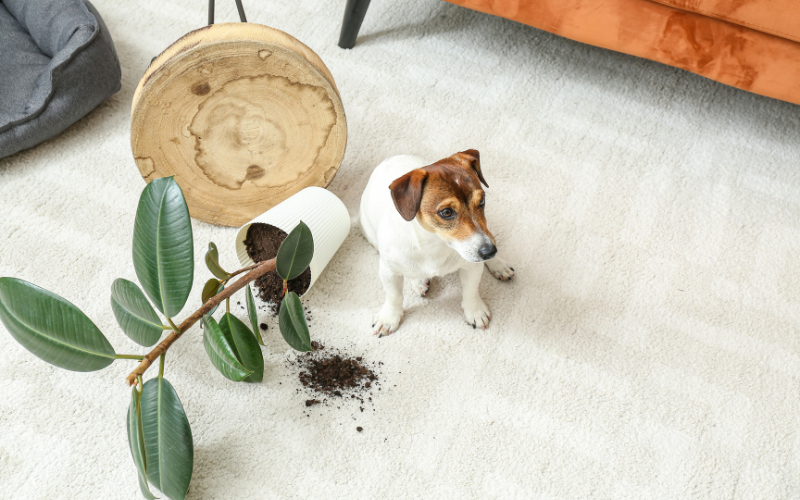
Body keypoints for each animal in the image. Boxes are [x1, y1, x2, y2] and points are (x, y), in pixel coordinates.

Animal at [360, 148, 516, 336]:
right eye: (447, 212)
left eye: (482, 201)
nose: (490, 251)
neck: (435, 243)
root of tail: (391, 158)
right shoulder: (388, 271)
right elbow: (394, 296)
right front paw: (389, 318)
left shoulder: (472, 265)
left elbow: (470, 291)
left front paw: (475, 311)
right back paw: (419, 281)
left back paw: (498, 264)